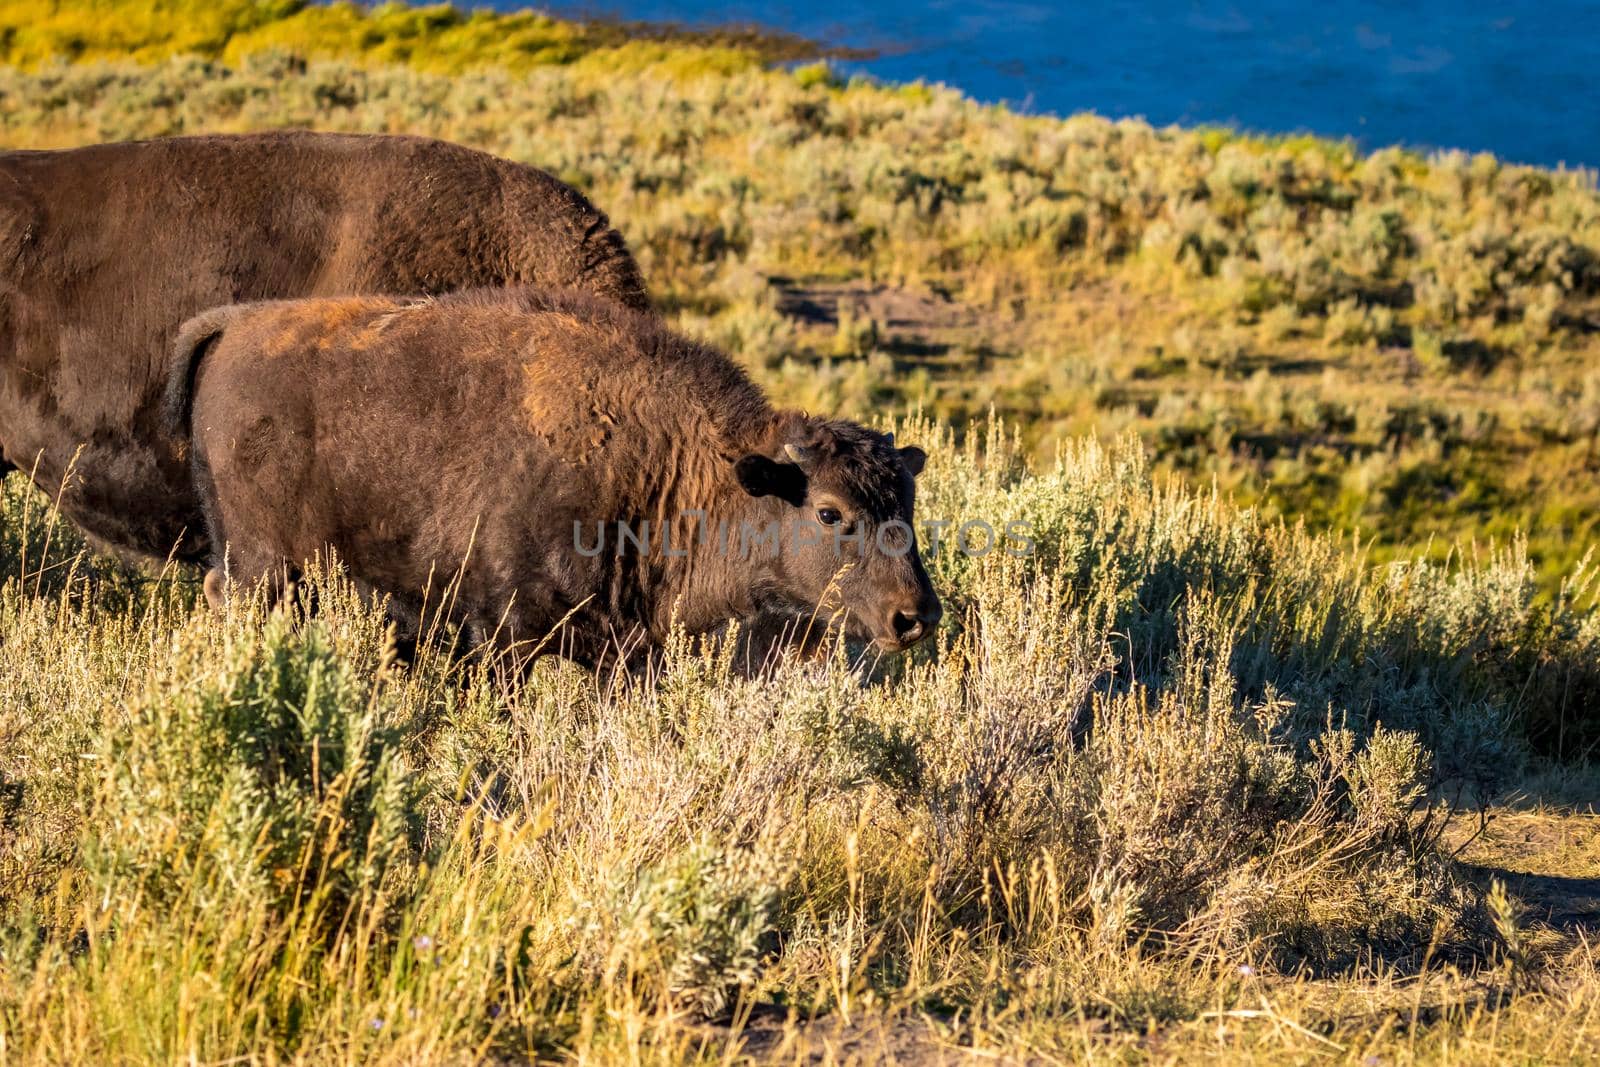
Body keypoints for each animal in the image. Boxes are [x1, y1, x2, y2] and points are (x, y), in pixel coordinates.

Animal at [165, 287, 934, 662]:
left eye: (908, 505)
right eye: (829, 511)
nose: (916, 616)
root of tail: (232, 325)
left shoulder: (629, 651)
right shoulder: (504, 632)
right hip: (266, 570)